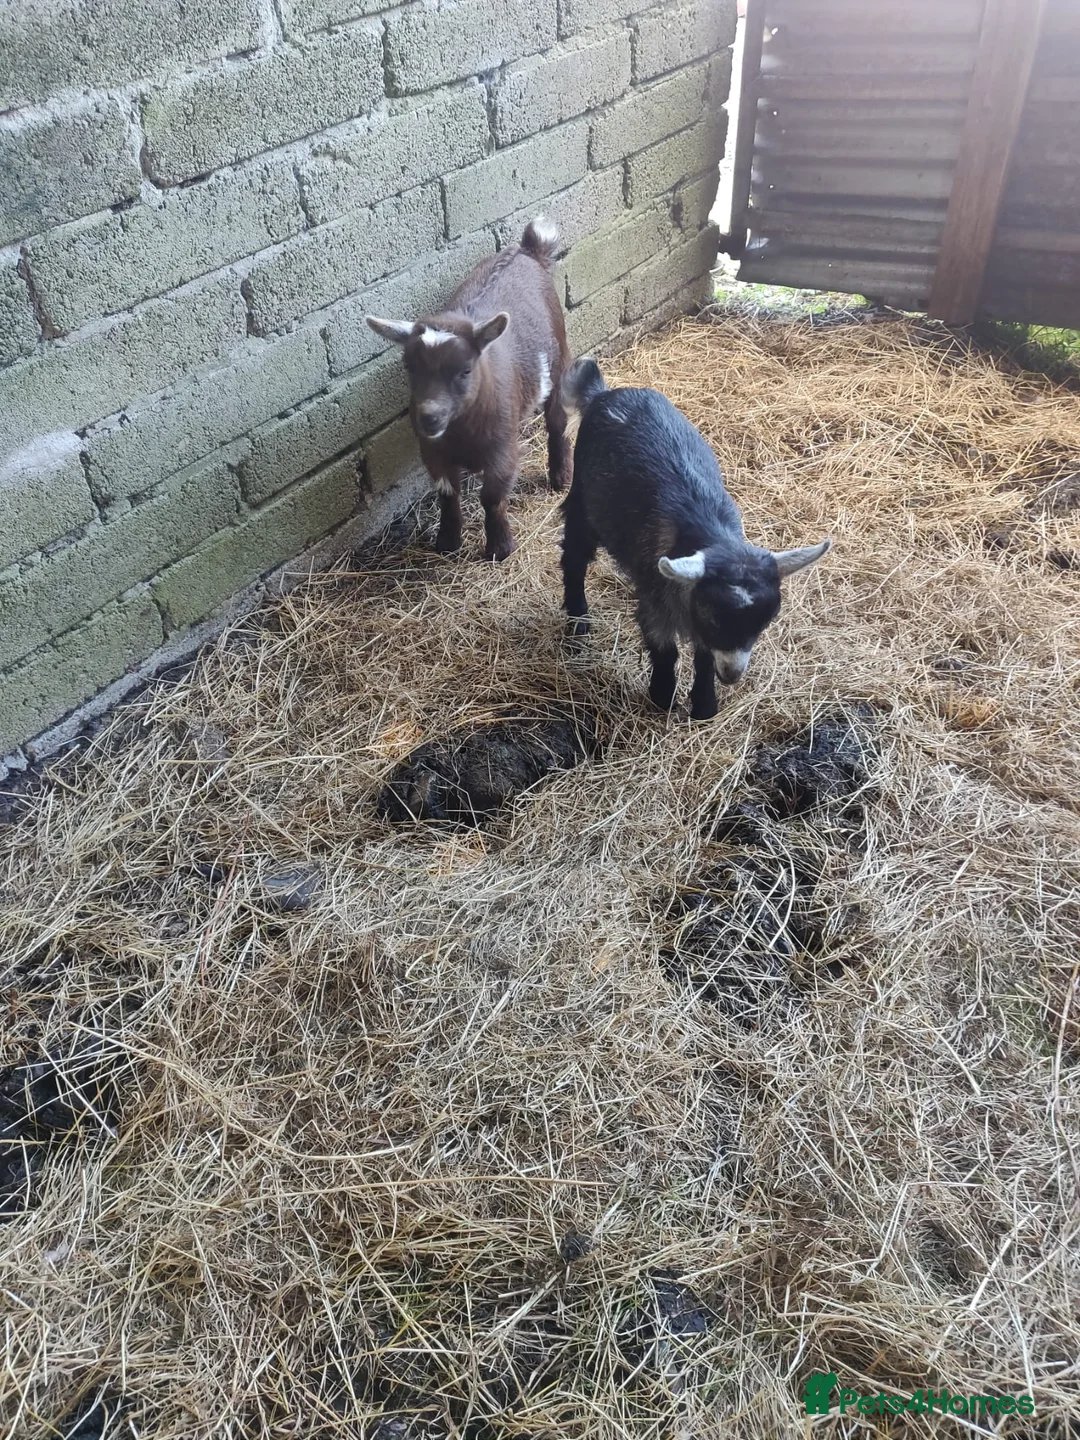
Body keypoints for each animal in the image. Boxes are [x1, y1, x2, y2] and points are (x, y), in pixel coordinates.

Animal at [366, 218, 571, 561]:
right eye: (409, 367)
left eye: (465, 370)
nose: (429, 417)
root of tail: (528, 250)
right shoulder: (433, 452)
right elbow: (448, 494)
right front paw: (448, 542)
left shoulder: (502, 449)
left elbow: (492, 497)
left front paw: (499, 548)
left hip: (558, 358)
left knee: (557, 419)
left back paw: (560, 477)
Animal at [559, 359, 830, 720]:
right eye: (714, 617)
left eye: (766, 620)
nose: (732, 675)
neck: (708, 528)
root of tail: (602, 393)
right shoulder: (654, 594)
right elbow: (664, 648)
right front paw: (662, 697)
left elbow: (703, 657)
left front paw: (704, 705)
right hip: (584, 501)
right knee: (574, 556)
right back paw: (578, 620)